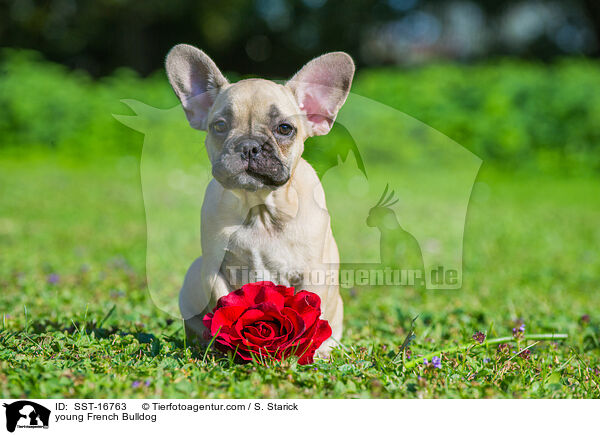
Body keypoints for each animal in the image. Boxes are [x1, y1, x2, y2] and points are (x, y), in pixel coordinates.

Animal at [164, 43, 354, 358]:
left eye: (285, 128)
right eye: (219, 126)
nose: (249, 146)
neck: (260, 208)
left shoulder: (314, 274)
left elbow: (312, 317)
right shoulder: (214, 270)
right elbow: (223, 306)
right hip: (193, 276)